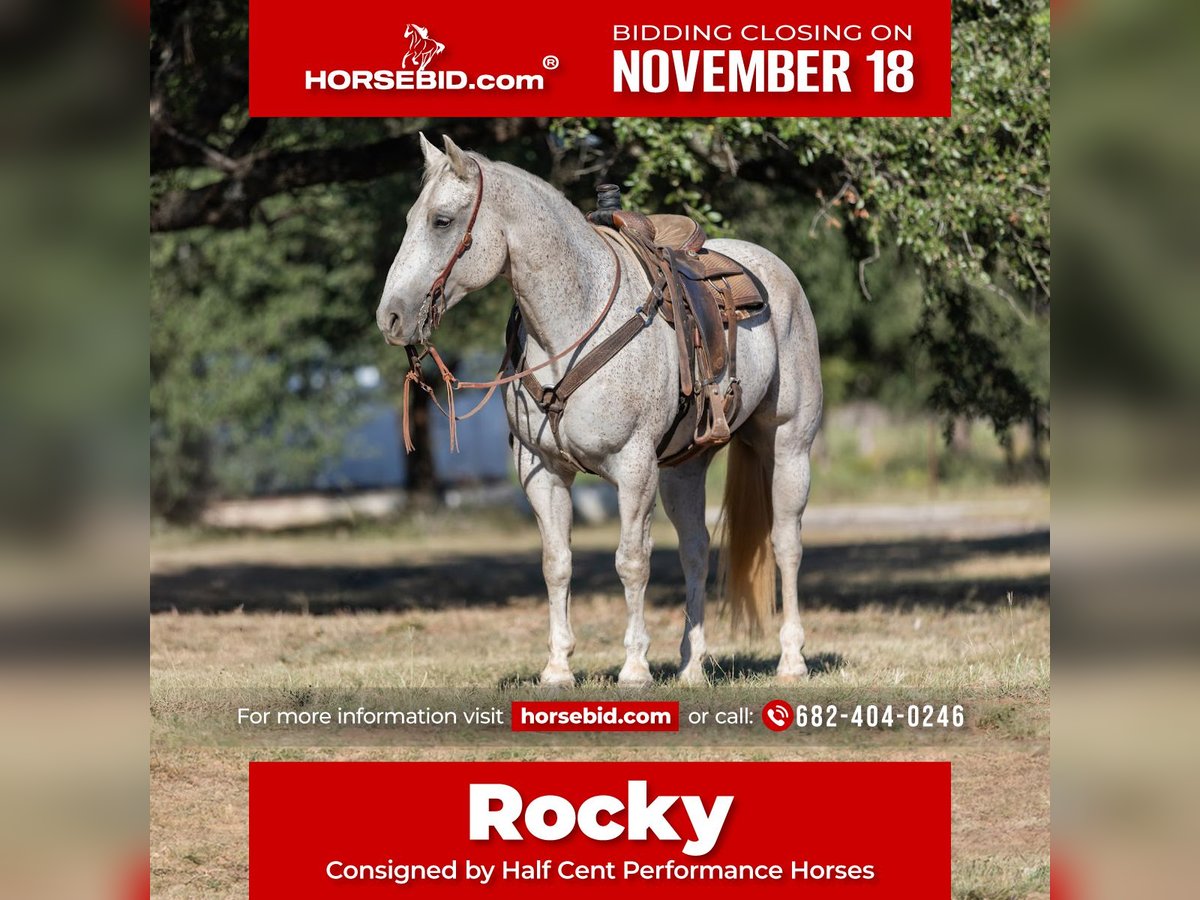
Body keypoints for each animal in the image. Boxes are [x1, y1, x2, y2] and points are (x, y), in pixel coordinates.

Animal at [376, 133, 825, 686]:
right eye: (411, 217)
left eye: (442, 221)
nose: (390, 316)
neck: (572, 324)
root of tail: (774, 270)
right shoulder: (543, 471)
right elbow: (557, 563)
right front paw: (557, 667)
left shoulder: (633, 468)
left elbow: (631, 561)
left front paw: (634, 666)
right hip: (684, 468)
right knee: (696, 551)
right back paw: (692, 665)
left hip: (789, 447)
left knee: (786, 543)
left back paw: (792, 659)